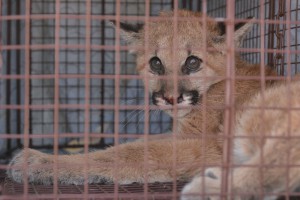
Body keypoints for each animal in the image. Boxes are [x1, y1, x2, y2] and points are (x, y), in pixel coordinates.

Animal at [7, 10, 276, 186]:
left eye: (192, 62)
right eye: (156, 63)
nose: (171, 98)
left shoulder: (207, 147)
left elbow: (129, 153)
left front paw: (38, 161)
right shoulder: (180, 135)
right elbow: (139, 142)